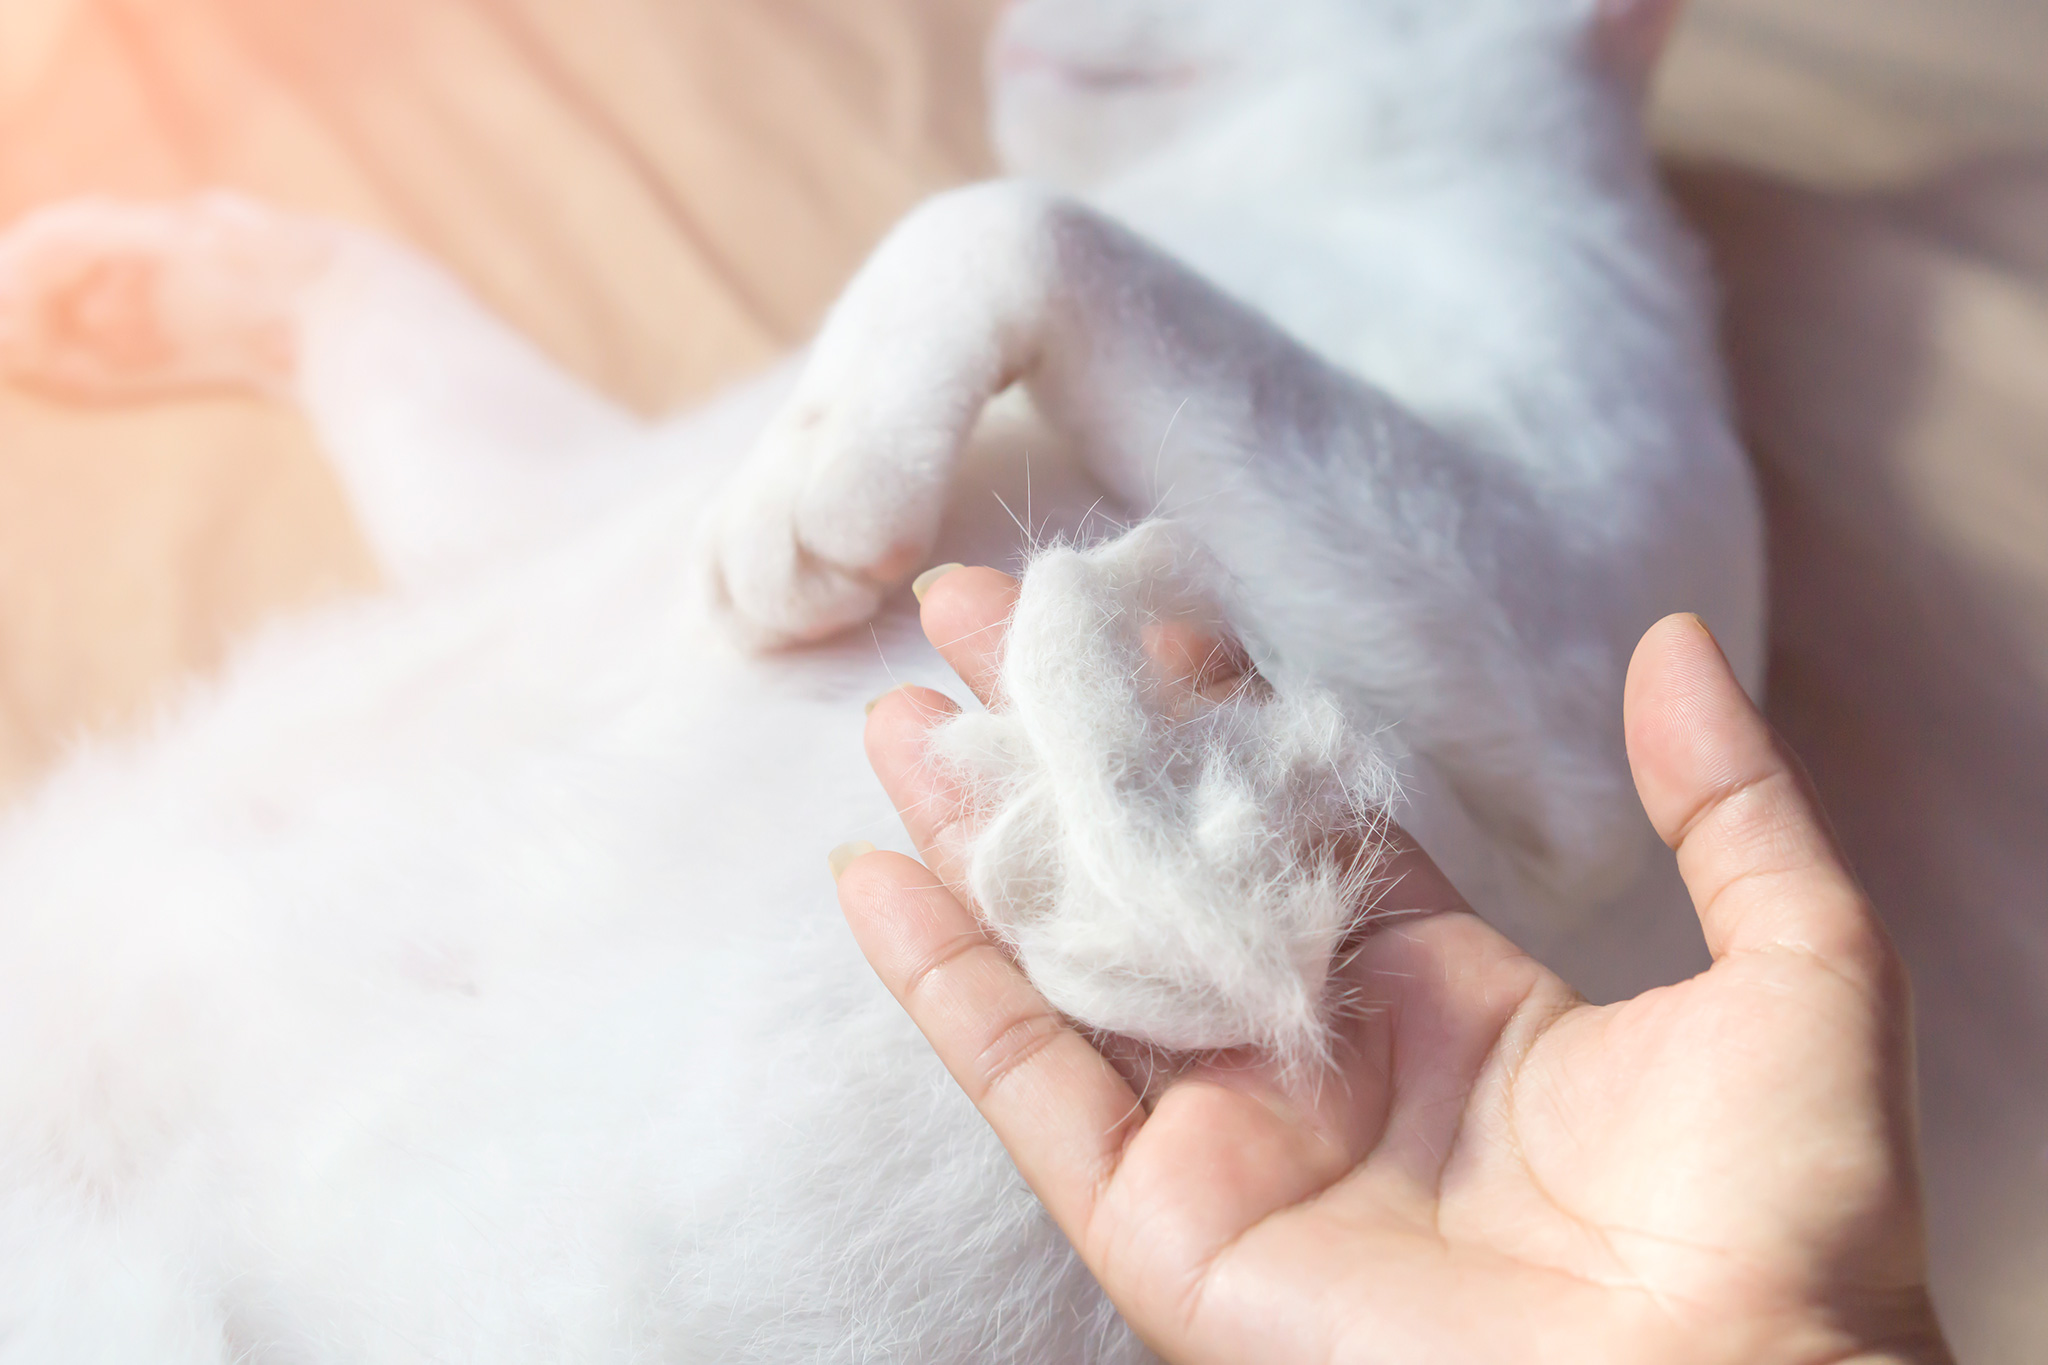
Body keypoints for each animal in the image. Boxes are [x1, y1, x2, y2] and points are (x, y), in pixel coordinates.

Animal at [0, 2, 1761, 1358]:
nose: (1016, 12)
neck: (1284, 180)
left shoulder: (1545, 665)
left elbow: (999, 208)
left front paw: (828, 474)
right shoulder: (543, 492)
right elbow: (366, 292)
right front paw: (130, 278)